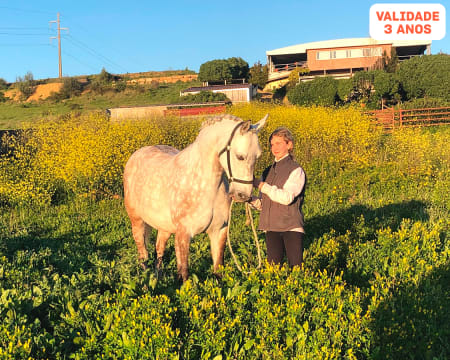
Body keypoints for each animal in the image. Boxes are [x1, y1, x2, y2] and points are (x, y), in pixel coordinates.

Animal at [123, 112, 268, 282]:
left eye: (258, 156)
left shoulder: (219, 231)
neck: (205, 185)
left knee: (159, 249)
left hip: (164, 227)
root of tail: (136, 154)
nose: (242, 195)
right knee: (143, 255)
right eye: (240, 156)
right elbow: (184, 273)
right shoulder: (183, 234)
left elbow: (218, 268)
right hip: (137, 222)